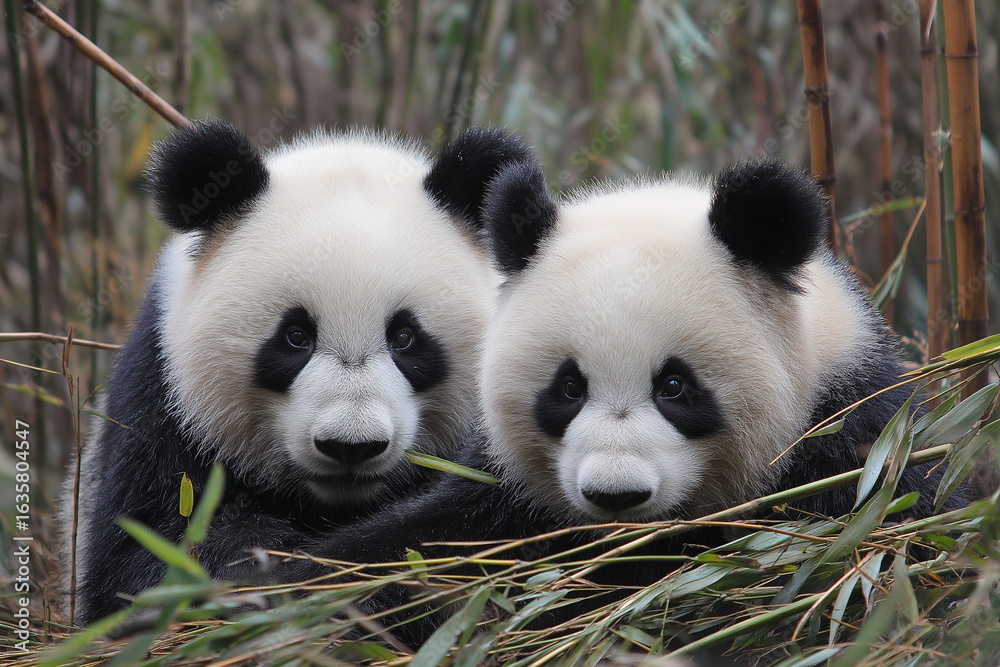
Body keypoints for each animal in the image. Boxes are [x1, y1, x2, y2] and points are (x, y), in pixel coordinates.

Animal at [285, 156, 967, 637]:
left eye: (674, 387)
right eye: (567, 387)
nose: (616, 495)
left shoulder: (849, 445)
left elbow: (891, 556)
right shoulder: (506, 504)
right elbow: (407, 555)